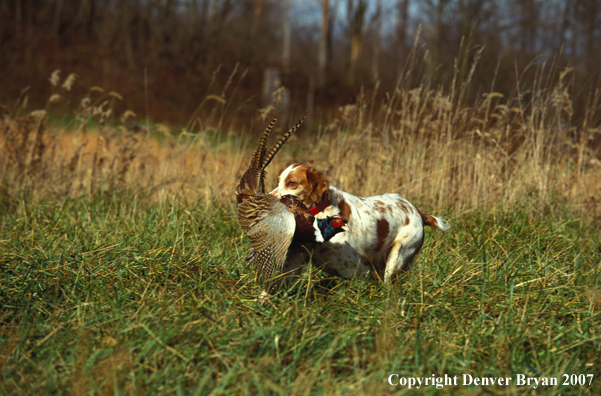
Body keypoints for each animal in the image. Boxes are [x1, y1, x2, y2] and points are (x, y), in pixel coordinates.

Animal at [270, 163, 448, 284]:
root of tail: (418, 211)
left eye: (292, 182)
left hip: (398, 255)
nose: (269, 198)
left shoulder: (356, 268)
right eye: (278, 181)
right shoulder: (295, 258)